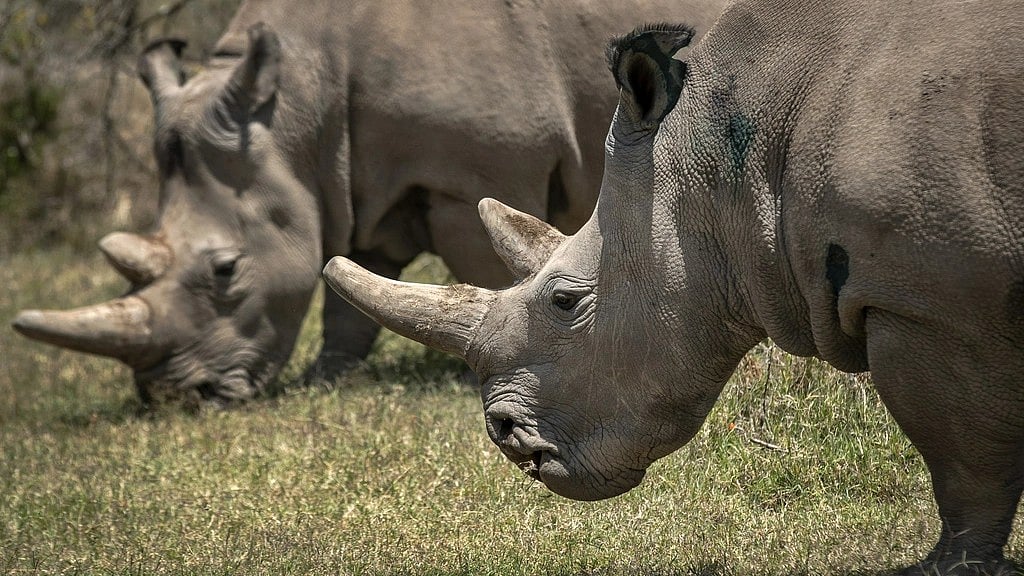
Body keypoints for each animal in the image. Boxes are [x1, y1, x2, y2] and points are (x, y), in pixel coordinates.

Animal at [10, 0, 727, 407]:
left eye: (225, 270)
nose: (177, 398)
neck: (298, 102)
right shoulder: (350, 177)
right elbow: (348, 284)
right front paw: (326, 382)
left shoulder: (473, 170)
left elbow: (484, 265)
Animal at [322, 0, 1024, 572]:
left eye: (565, 301)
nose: (505, 436)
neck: (731, 168)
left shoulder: (931, 305)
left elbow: (963, 454)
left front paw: (948, 567)